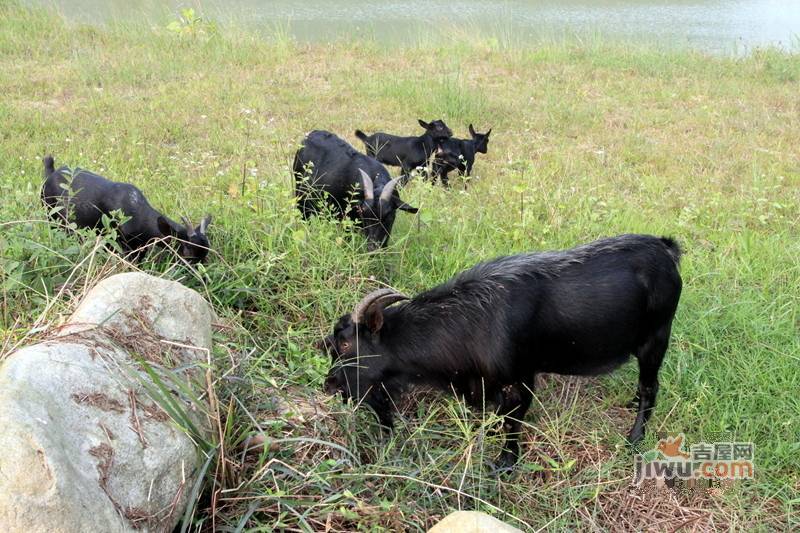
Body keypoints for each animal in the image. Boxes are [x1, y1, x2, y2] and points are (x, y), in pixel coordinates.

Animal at [41, 155, 211, 262]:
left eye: (206, 252)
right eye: (186, 250)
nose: (201, 278)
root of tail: (50, 173)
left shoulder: (140, 246)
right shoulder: (122, 243)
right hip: (50, 213)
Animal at [322, 236, 684, 466]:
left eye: (346, 344)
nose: (330, 384)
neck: (473, 319)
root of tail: (665, 248)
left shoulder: (520, 379)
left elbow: (512, 423)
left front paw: (506, 463)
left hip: (656, 339)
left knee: (650, 387)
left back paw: (634, 438)